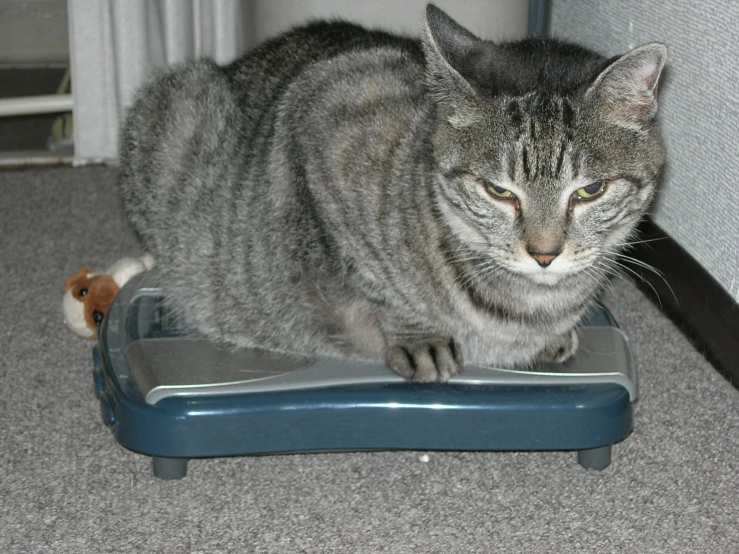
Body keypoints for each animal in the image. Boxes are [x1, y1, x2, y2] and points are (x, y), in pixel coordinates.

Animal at [118, 4, 668, 382]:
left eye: (590, 191)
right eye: (498, 191)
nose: (544, 254)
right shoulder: (322, 117)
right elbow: (375, 281)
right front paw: (419, 335)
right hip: (176, 104)